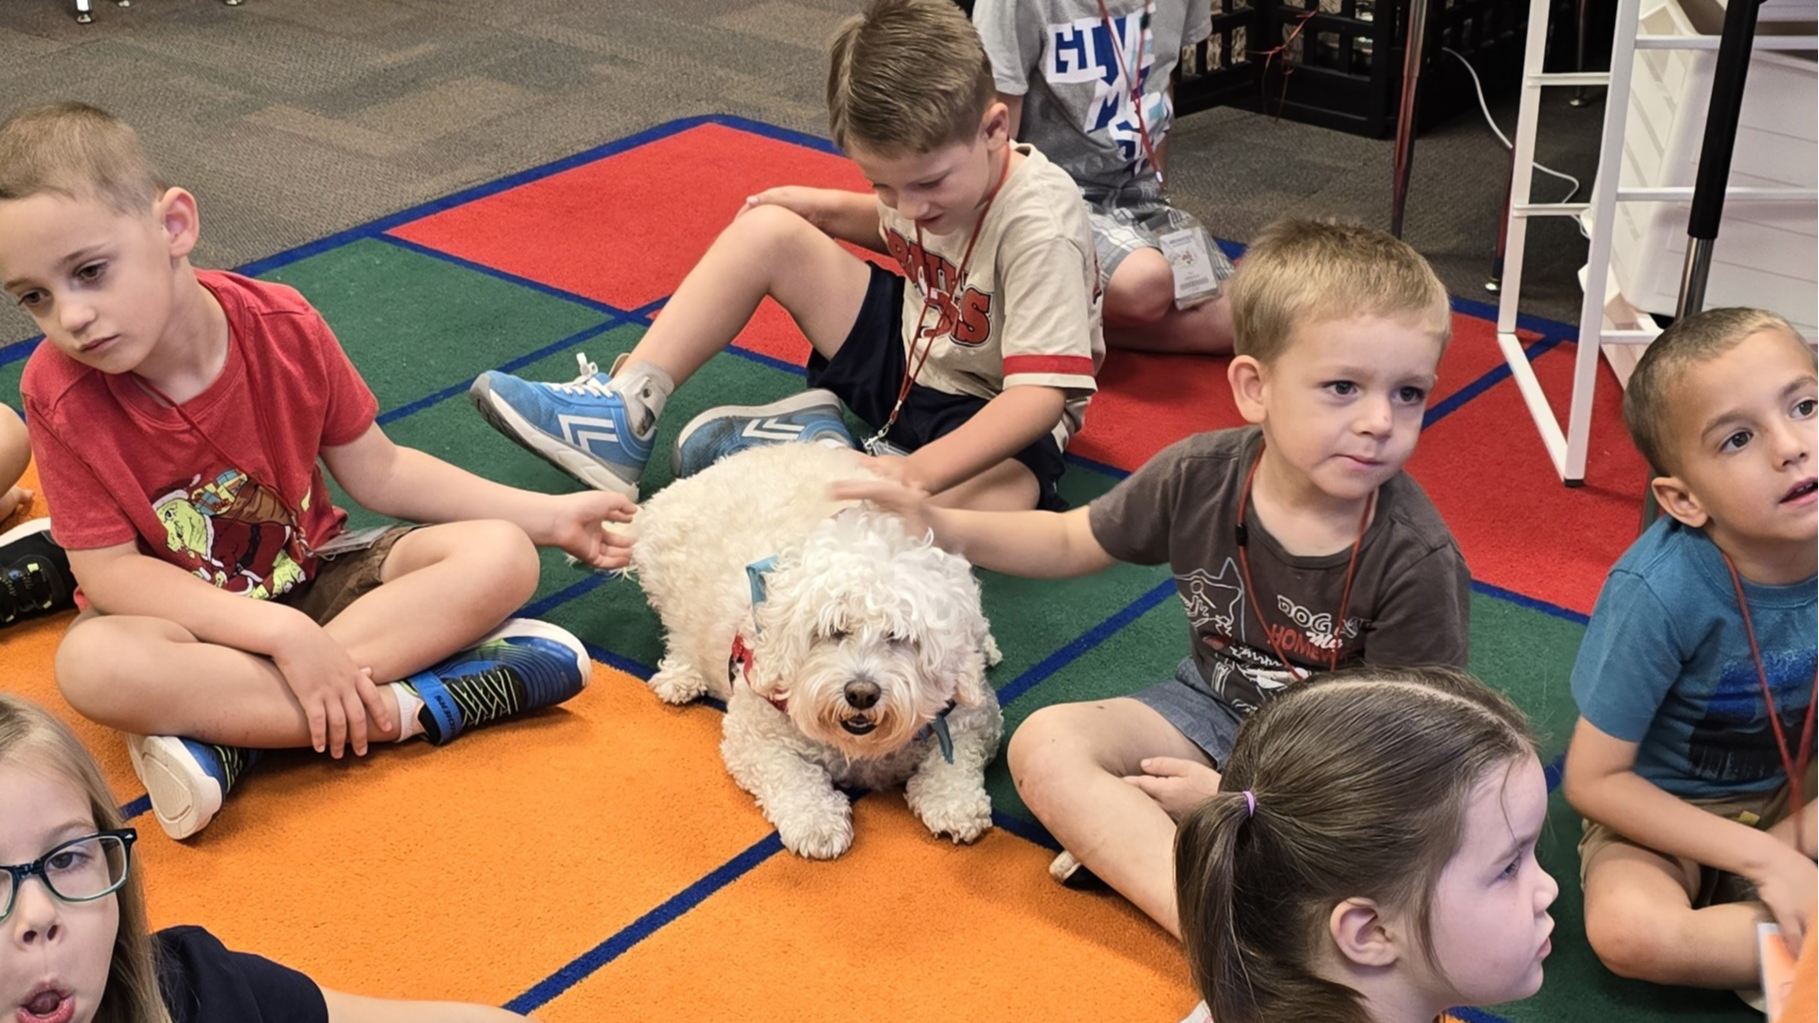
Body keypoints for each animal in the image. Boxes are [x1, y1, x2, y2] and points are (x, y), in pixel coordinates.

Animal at [629, 442, 1004, 855]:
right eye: (833, 631)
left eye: (898, 636)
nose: (861, 693)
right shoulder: (754, 734)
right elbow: (791, 775)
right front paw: (817, 822)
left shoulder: (974, 717)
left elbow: (954, 760)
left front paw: (953, 803)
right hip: (659, 568)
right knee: (677, 630)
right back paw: (681, 674)